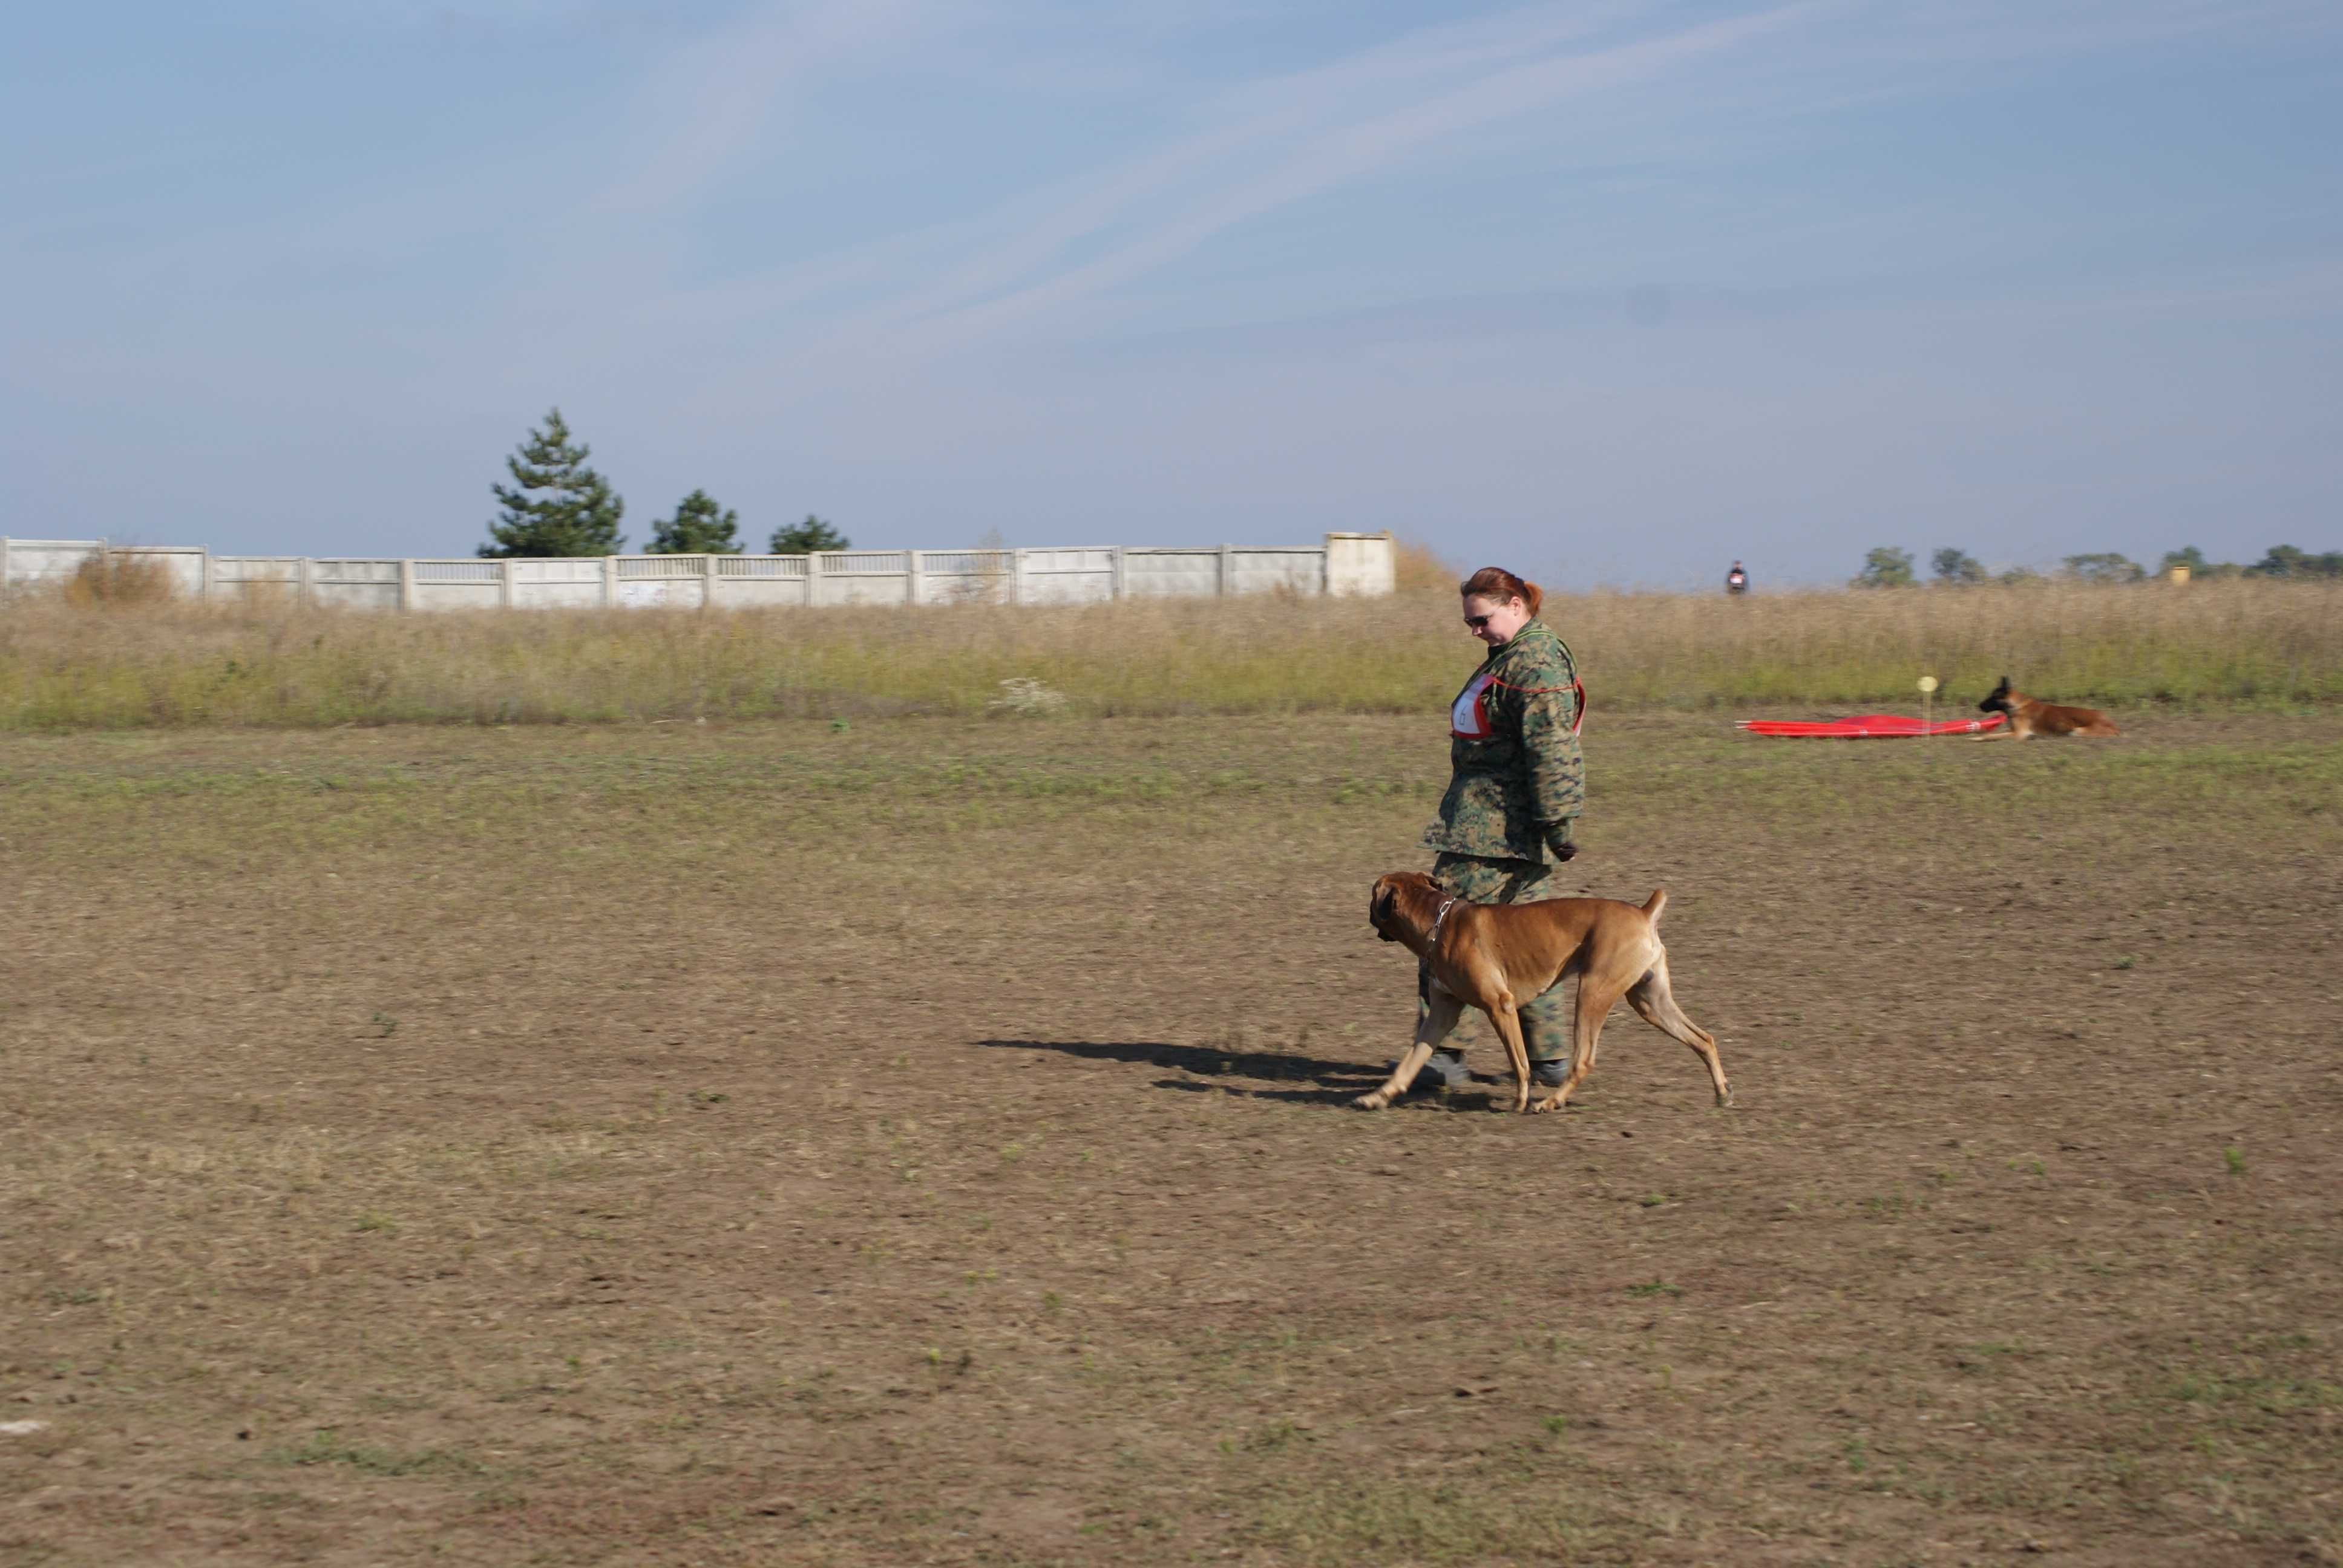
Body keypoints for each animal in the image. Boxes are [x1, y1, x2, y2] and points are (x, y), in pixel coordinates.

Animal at [1368, 867, 1734, 1111]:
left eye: (1373, 894)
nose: (1368, 912)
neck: (1440, 921)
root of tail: (1644, 913)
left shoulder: (1500, 1006)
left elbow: (1520, 1062)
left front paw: (1520, 1100)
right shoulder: (1441, 1015)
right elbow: (1412, 1060)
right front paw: (1379, 1096)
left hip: (1592, 995)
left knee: (1583, 1061)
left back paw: (1550, 1102)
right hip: (1651, 1002)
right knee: (1704, 1039)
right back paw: (1722, 1093)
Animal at [1977, 675, 2127, 740]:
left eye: (1993, 697)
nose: (1979, 706)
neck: (2017, 704)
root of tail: (2113, 725)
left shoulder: (2018, 734)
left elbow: (1991, 736)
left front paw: (1978, 738)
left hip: (2077, 731)